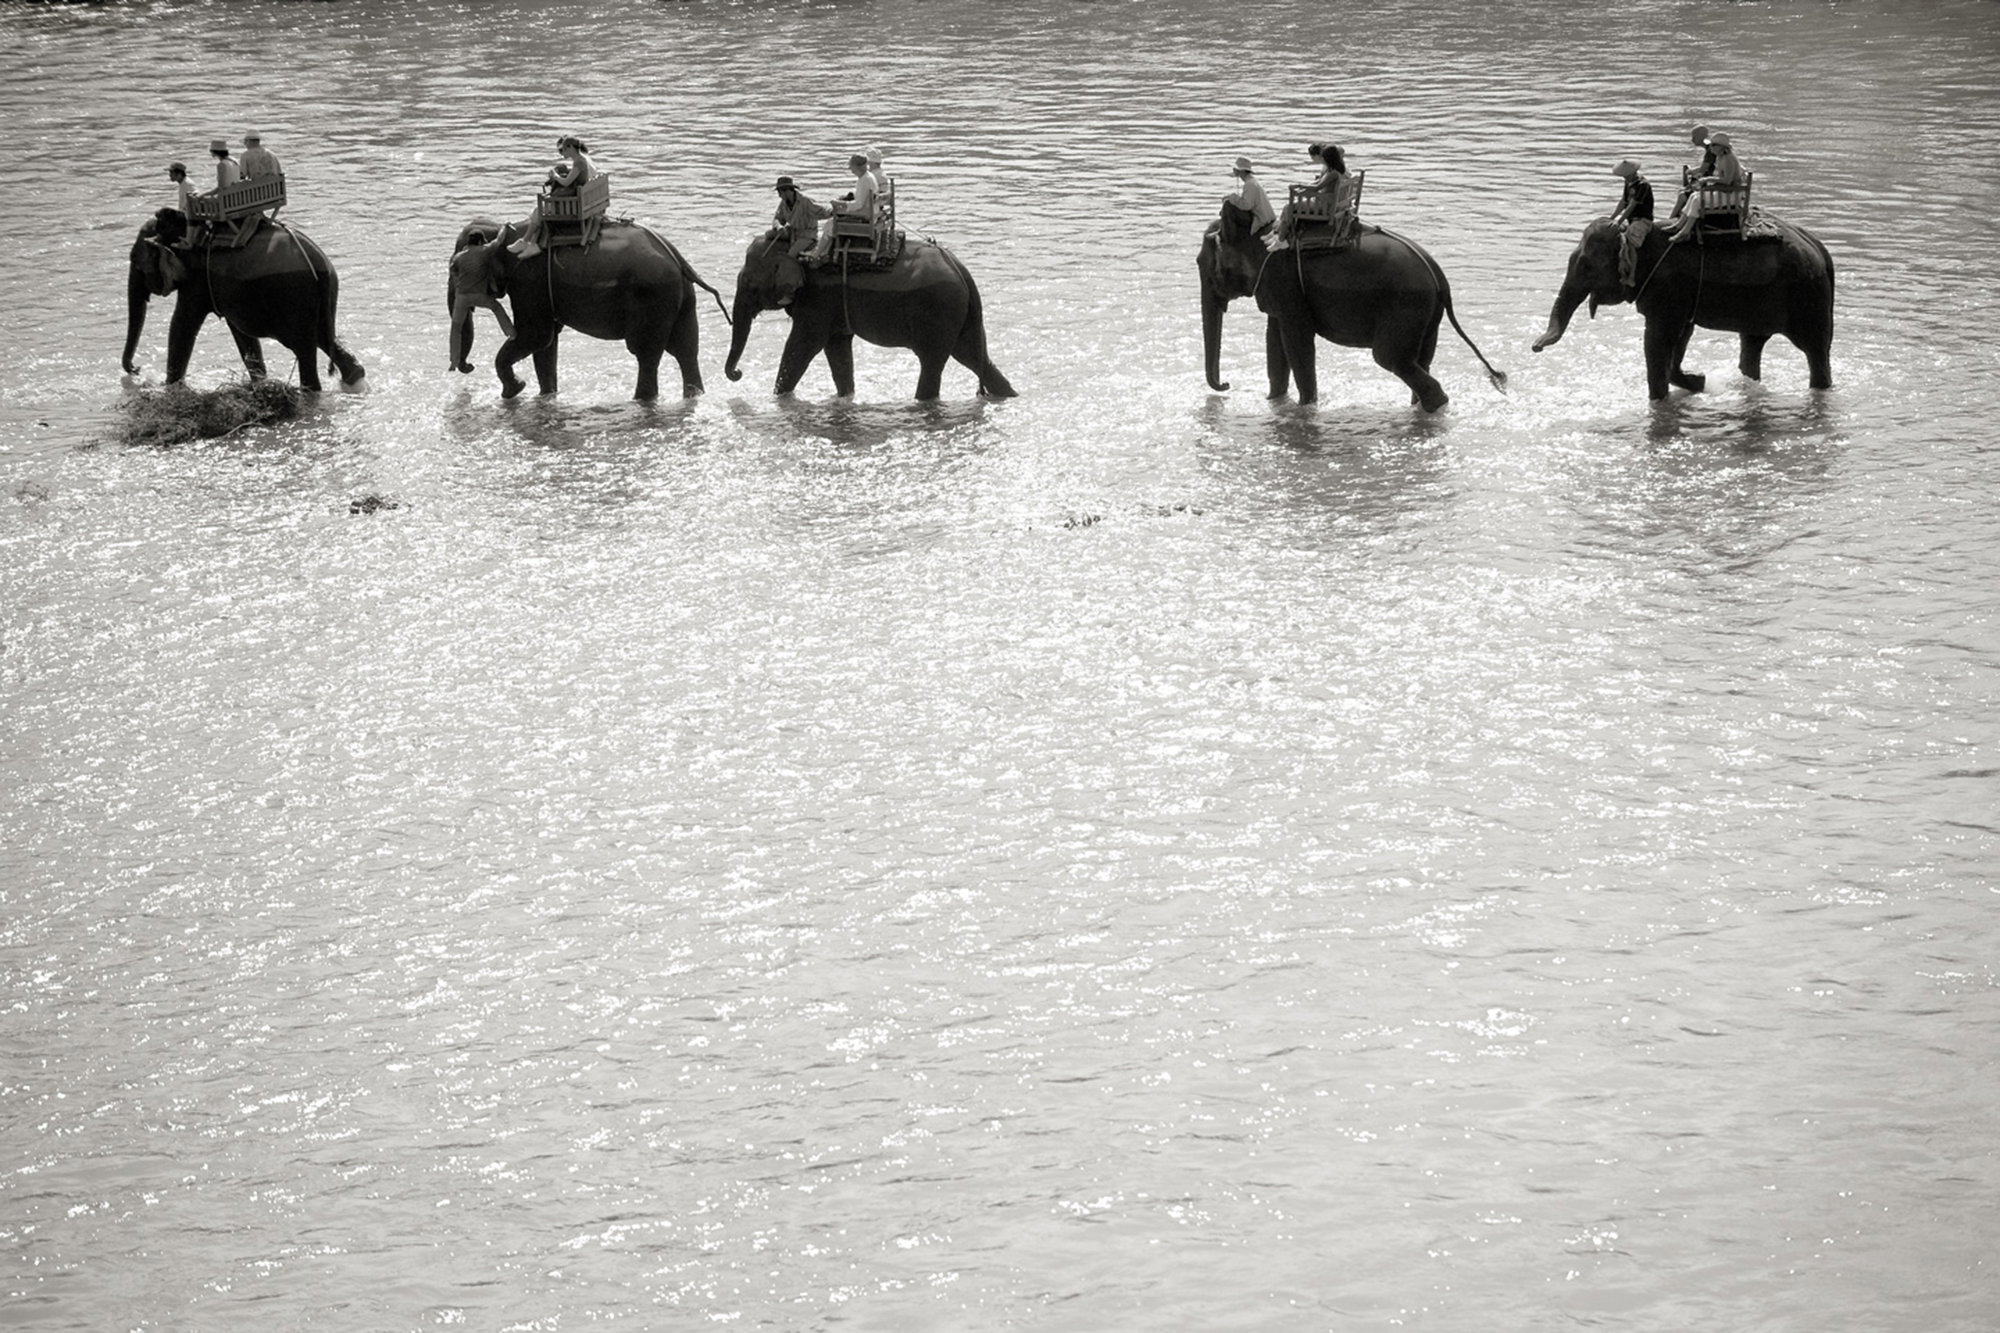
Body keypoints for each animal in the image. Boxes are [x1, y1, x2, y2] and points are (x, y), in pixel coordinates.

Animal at [123, 210, 364, 390]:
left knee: (305, 350)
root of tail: (315, 260)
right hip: (322, 296)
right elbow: (241, 335)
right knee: (324, 337)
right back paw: (354, 376)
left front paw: (168, 388)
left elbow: (182, 324)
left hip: (294, 295)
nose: (136, 369)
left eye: (134, 258)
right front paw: (260, 383)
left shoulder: (197, 280)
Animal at [448, 218, 720, 400]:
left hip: (653, 298)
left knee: (646, 354)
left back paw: (641, 400)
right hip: (681, 299)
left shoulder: (529, 281)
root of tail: (678, 259)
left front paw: (514, 391)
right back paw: (693, 395)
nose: (468, 367)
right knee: (686, 350)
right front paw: (546, 395)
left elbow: (536, 336)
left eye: (455, 269)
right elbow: (546, 343)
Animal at [722, 231, 1016, 400]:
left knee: (933, 363)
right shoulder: (832, 307)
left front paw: (777, 398)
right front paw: (845, 397)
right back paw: (1009, 394)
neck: (799, 248)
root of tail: (961, 270)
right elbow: (837, 349)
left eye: (748, 283)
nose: (738, 373)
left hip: (938, 311)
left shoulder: (818, 301)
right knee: (973, 356)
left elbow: (802, 347)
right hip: (960, 315)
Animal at [1199, 201, 1506, 410]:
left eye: (1200, 263)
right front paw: (1274, 401)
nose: (1226, 384)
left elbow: (1297, 342)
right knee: (1422, 361)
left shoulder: (1286, 286)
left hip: (1406, 306)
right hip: (1429, 317)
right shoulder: (1278, 292)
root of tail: (1439, 277)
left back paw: (1435, 404)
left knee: (1391, 358)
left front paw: (1305, 407)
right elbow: (1275, 343)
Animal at [1531, 215, 1835, 399]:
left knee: (1814, 350)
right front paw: (1698, 382)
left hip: (1807, 296)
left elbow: (1658, 340)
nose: (1535, 347)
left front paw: (1663, 397)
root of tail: (1819, 247)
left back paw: (1820, 387)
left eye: (1586, 266)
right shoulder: (1682, 293)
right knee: (1752, 343)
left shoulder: (1668, 287)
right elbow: (1681, 337)